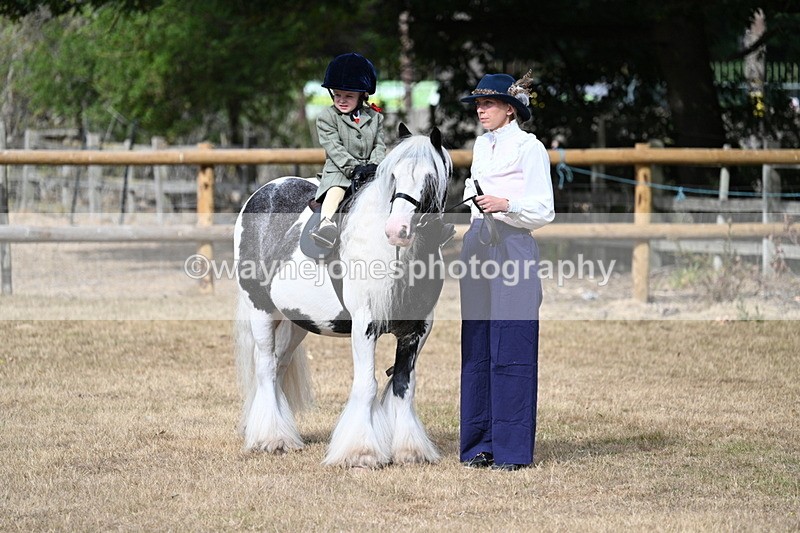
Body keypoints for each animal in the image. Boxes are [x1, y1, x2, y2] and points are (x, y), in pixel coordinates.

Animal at [233, 125, 452, 468]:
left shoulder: (417, 331)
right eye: (393, 177)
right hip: (261, 311)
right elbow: (367, 384)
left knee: (279, 366)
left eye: (430, 179)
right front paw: (360, 452)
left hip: (296, 322)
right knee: (266, 368)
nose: (396, 230)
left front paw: (411, 451)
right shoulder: (365, 326)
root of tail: (263, 192)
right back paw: (272, 438)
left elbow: (404, 385)